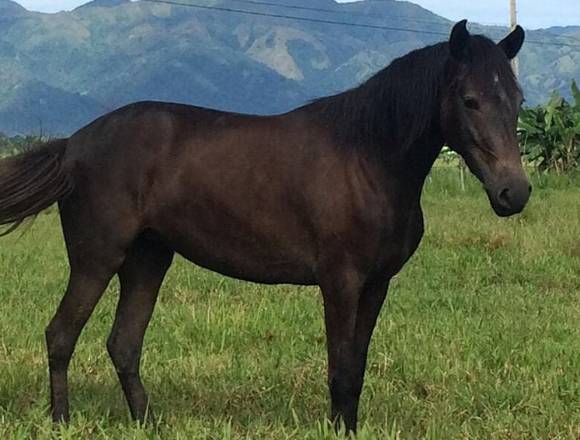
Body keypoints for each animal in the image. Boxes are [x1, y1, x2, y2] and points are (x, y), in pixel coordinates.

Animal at [0, 20, 532, 434]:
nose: (515, 192)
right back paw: (61, 422)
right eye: (470, 100)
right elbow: (340, 371)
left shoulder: (376, 285)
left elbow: (357, 369)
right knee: (61, 335)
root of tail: (74, 145)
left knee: (124, 345)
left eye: (518, 100)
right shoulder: (340, 282)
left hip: (148, 260)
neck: (367, 160)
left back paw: (146, 424)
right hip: (96, 259)